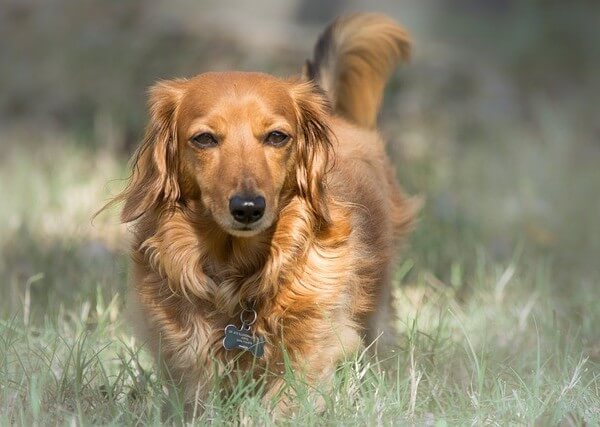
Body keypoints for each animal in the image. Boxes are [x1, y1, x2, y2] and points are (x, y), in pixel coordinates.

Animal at [106, 13, 418, 414]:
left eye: (276, 136)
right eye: (204, 138)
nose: (248, 208)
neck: (239, 277)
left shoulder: (313, 345)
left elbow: (286, 399)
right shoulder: (187, 354)